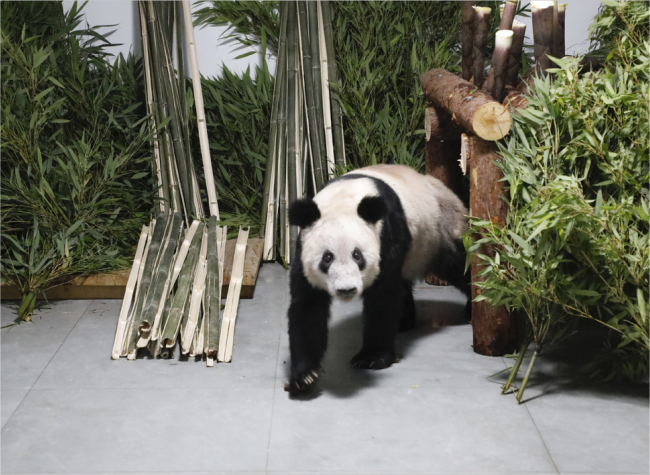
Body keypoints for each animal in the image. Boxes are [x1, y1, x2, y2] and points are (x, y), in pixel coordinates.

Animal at [287, 164, 469, 393]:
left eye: (357, 255)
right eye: (327, 258)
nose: (346, 290)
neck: (343, 199)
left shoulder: (386, 236)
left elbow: (383, 297)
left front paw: (371, 358)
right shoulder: (303, 249)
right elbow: (308, 306)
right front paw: (305, 375)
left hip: (441, 229)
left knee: (459, 264)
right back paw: (403, 322)